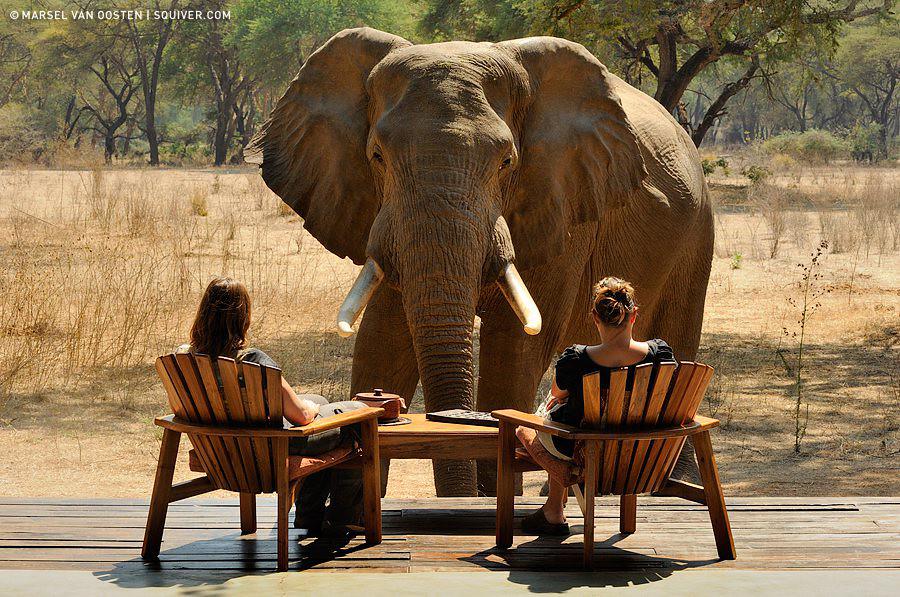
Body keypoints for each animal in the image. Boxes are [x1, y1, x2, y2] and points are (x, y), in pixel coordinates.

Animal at [244, 25, 712, 496]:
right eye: (377, 156)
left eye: (507, 162)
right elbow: (384, 335)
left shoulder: (562, 203)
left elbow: (516, 344)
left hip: (697, 231)